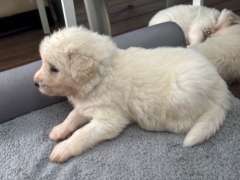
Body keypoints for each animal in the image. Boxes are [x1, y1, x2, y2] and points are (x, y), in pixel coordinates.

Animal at [33, 26, 231, 163]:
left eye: (54, 68)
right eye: (43, 62)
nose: (35, 82)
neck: (100, 77)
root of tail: (222, 90)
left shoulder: (109, 119)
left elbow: (83, 133)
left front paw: (62, 149)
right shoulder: (87, 105)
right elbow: (72, 116)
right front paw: (59, 130)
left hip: (182, 95)